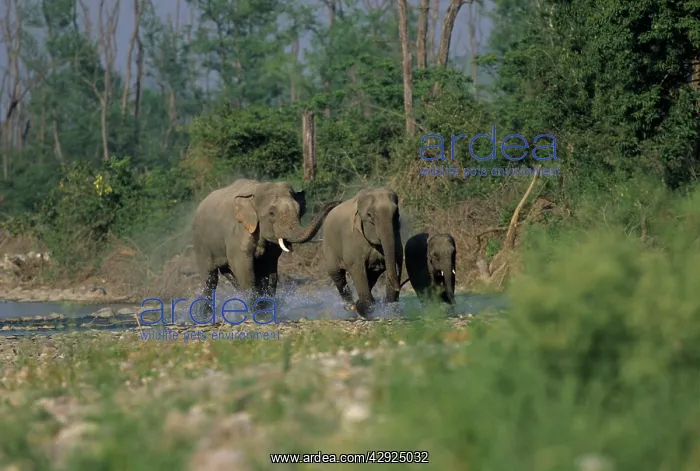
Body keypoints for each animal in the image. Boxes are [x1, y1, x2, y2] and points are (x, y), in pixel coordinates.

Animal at [191, 179, 340, 315]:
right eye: (272, 213)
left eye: (300, 211)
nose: (337, 203)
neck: (254, 194)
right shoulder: (236, 234)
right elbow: (244, 267)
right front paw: (255, 313)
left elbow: (270, 271)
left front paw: (266, 310)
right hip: (200, 242)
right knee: (210, 278)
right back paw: (204, 315)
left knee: (229, 274)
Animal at [322, 187, 403, 319]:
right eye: (369, 215)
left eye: (396, 212)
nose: (398, 288)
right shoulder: (352, 238)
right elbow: (356, 268)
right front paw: (363, 310)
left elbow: (397, 261)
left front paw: (390, 310)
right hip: (328, 246)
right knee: (336, 274)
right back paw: (350, 306)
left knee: (372, 276)